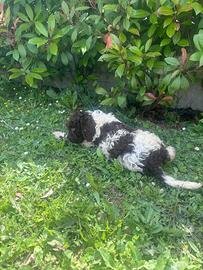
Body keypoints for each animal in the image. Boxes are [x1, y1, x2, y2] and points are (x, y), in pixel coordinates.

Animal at [53, 109, 202, 190]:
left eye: (73, 129)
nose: (71, 136)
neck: (97, 122)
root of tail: (153, 160)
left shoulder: (87, 143)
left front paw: (58, 134)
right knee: (168, 153)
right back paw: (171, 151)